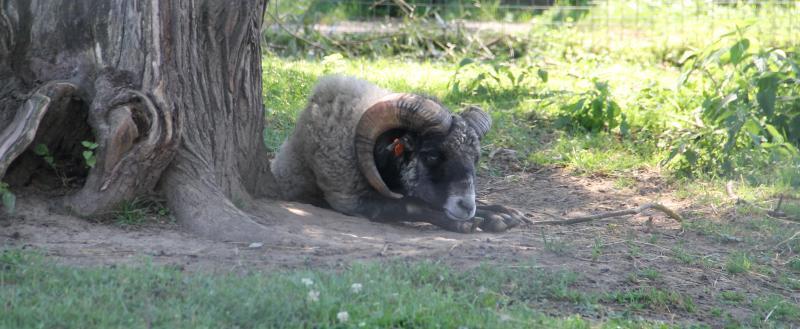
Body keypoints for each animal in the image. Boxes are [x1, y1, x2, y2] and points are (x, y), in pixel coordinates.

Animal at [272, 75, 528, 232]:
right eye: (431, 155)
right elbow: (411, 206)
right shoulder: (350, 201)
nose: (466, 206)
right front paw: (468, 223)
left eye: (475, 158)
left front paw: (505, 213)